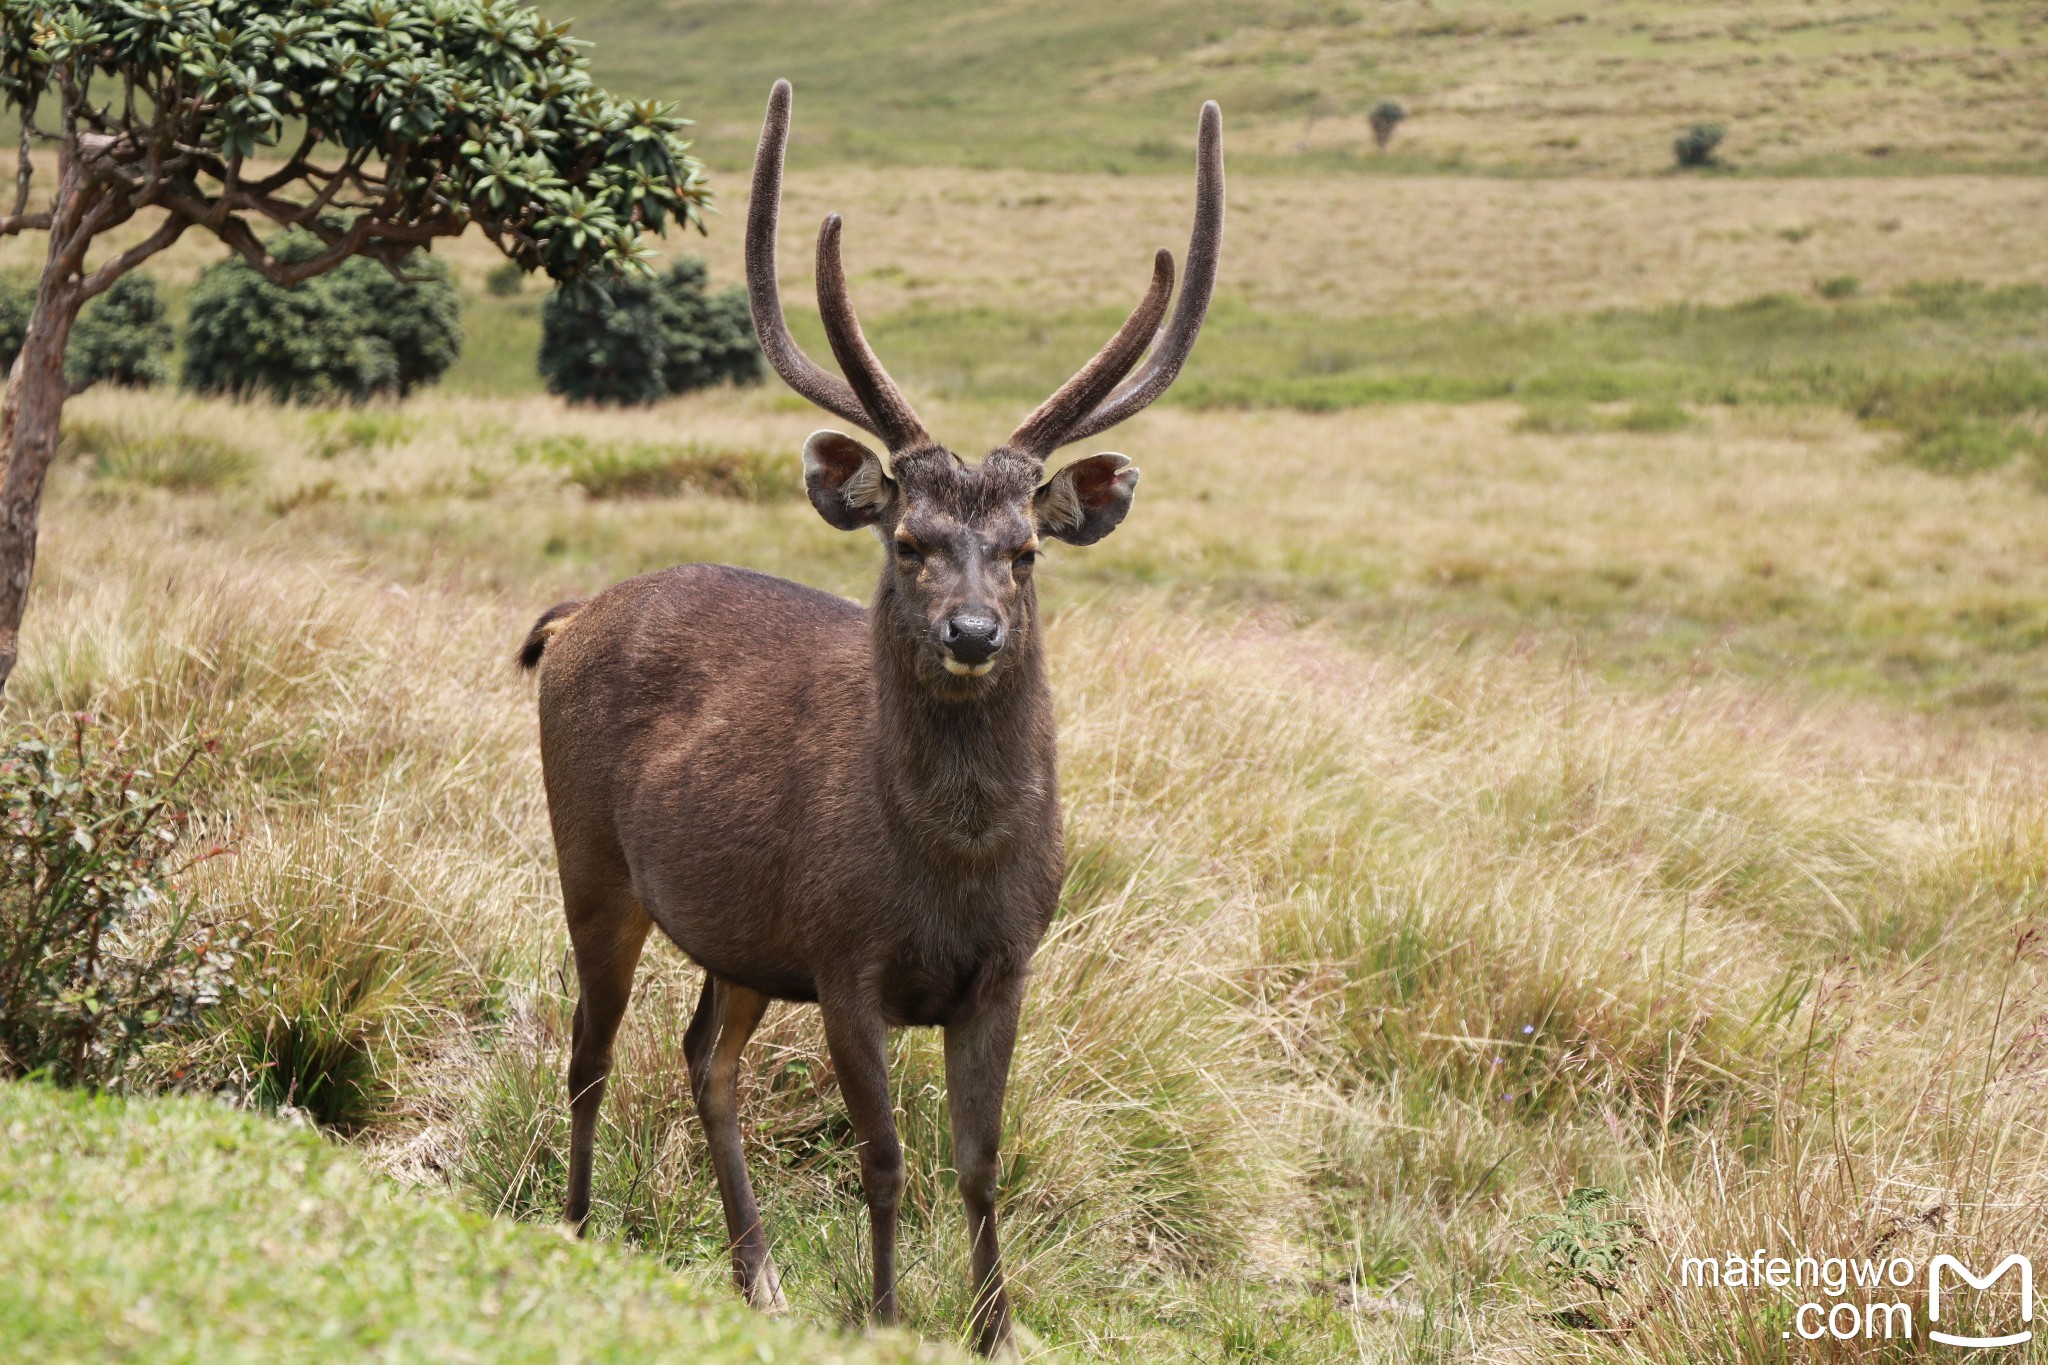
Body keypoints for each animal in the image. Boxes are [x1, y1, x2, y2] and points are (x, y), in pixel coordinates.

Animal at [520, 85, 1220, 1358]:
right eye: (908, 541)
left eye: (1024, 550)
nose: (972, 632)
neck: (950, 867)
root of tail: (575, 612)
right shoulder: (844, 954)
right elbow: (886, 1159)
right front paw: (888, 1313)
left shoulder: (1005, 964)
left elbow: (980, 1162)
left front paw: (994, 1329)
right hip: (591, 857)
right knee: (590, 1047)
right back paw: (578, 1224)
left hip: (742, 932)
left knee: (703, 1055)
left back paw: (758, 1278)